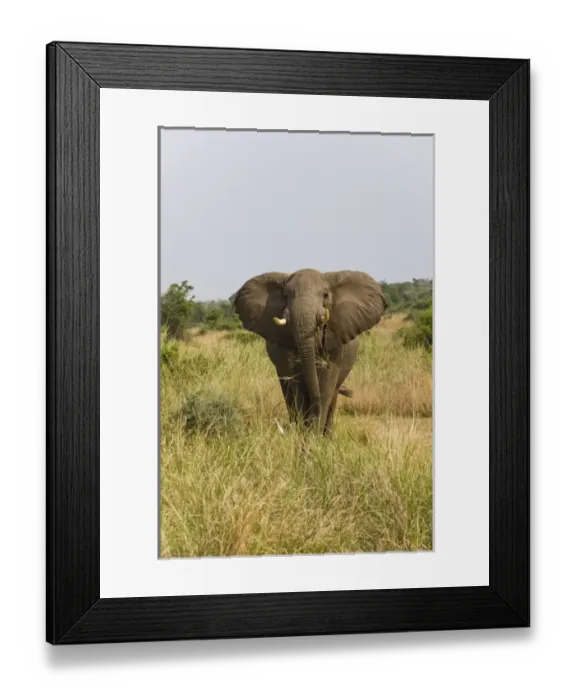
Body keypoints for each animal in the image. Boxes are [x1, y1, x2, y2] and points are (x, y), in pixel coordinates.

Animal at [233, 268, 388, 434]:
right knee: (288, 391)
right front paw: (305, 433)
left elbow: (326, 384)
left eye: (325, 295)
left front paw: (314, 435)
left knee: (333, 393)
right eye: (286, 296)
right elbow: (298, 384)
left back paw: (326, 433)